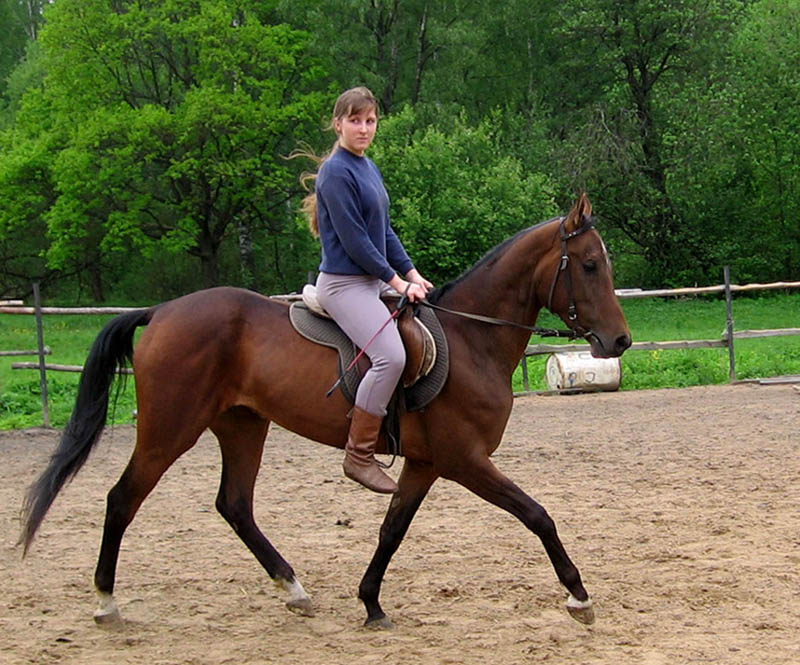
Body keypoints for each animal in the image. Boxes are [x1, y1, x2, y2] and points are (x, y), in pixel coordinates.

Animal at [20, 191, 632, 628]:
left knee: (234, 505)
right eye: (588, 265)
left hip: (242, 425)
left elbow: (392, 530)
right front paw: (578, 596)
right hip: (169, 429)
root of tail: (164, 311)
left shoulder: (425, 464)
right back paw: (106, 602)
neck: (471, 340)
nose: (620, 341)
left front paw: (371, 603)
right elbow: (537, 514)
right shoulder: (465, 460)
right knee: (122, 499)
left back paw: (294, 589)